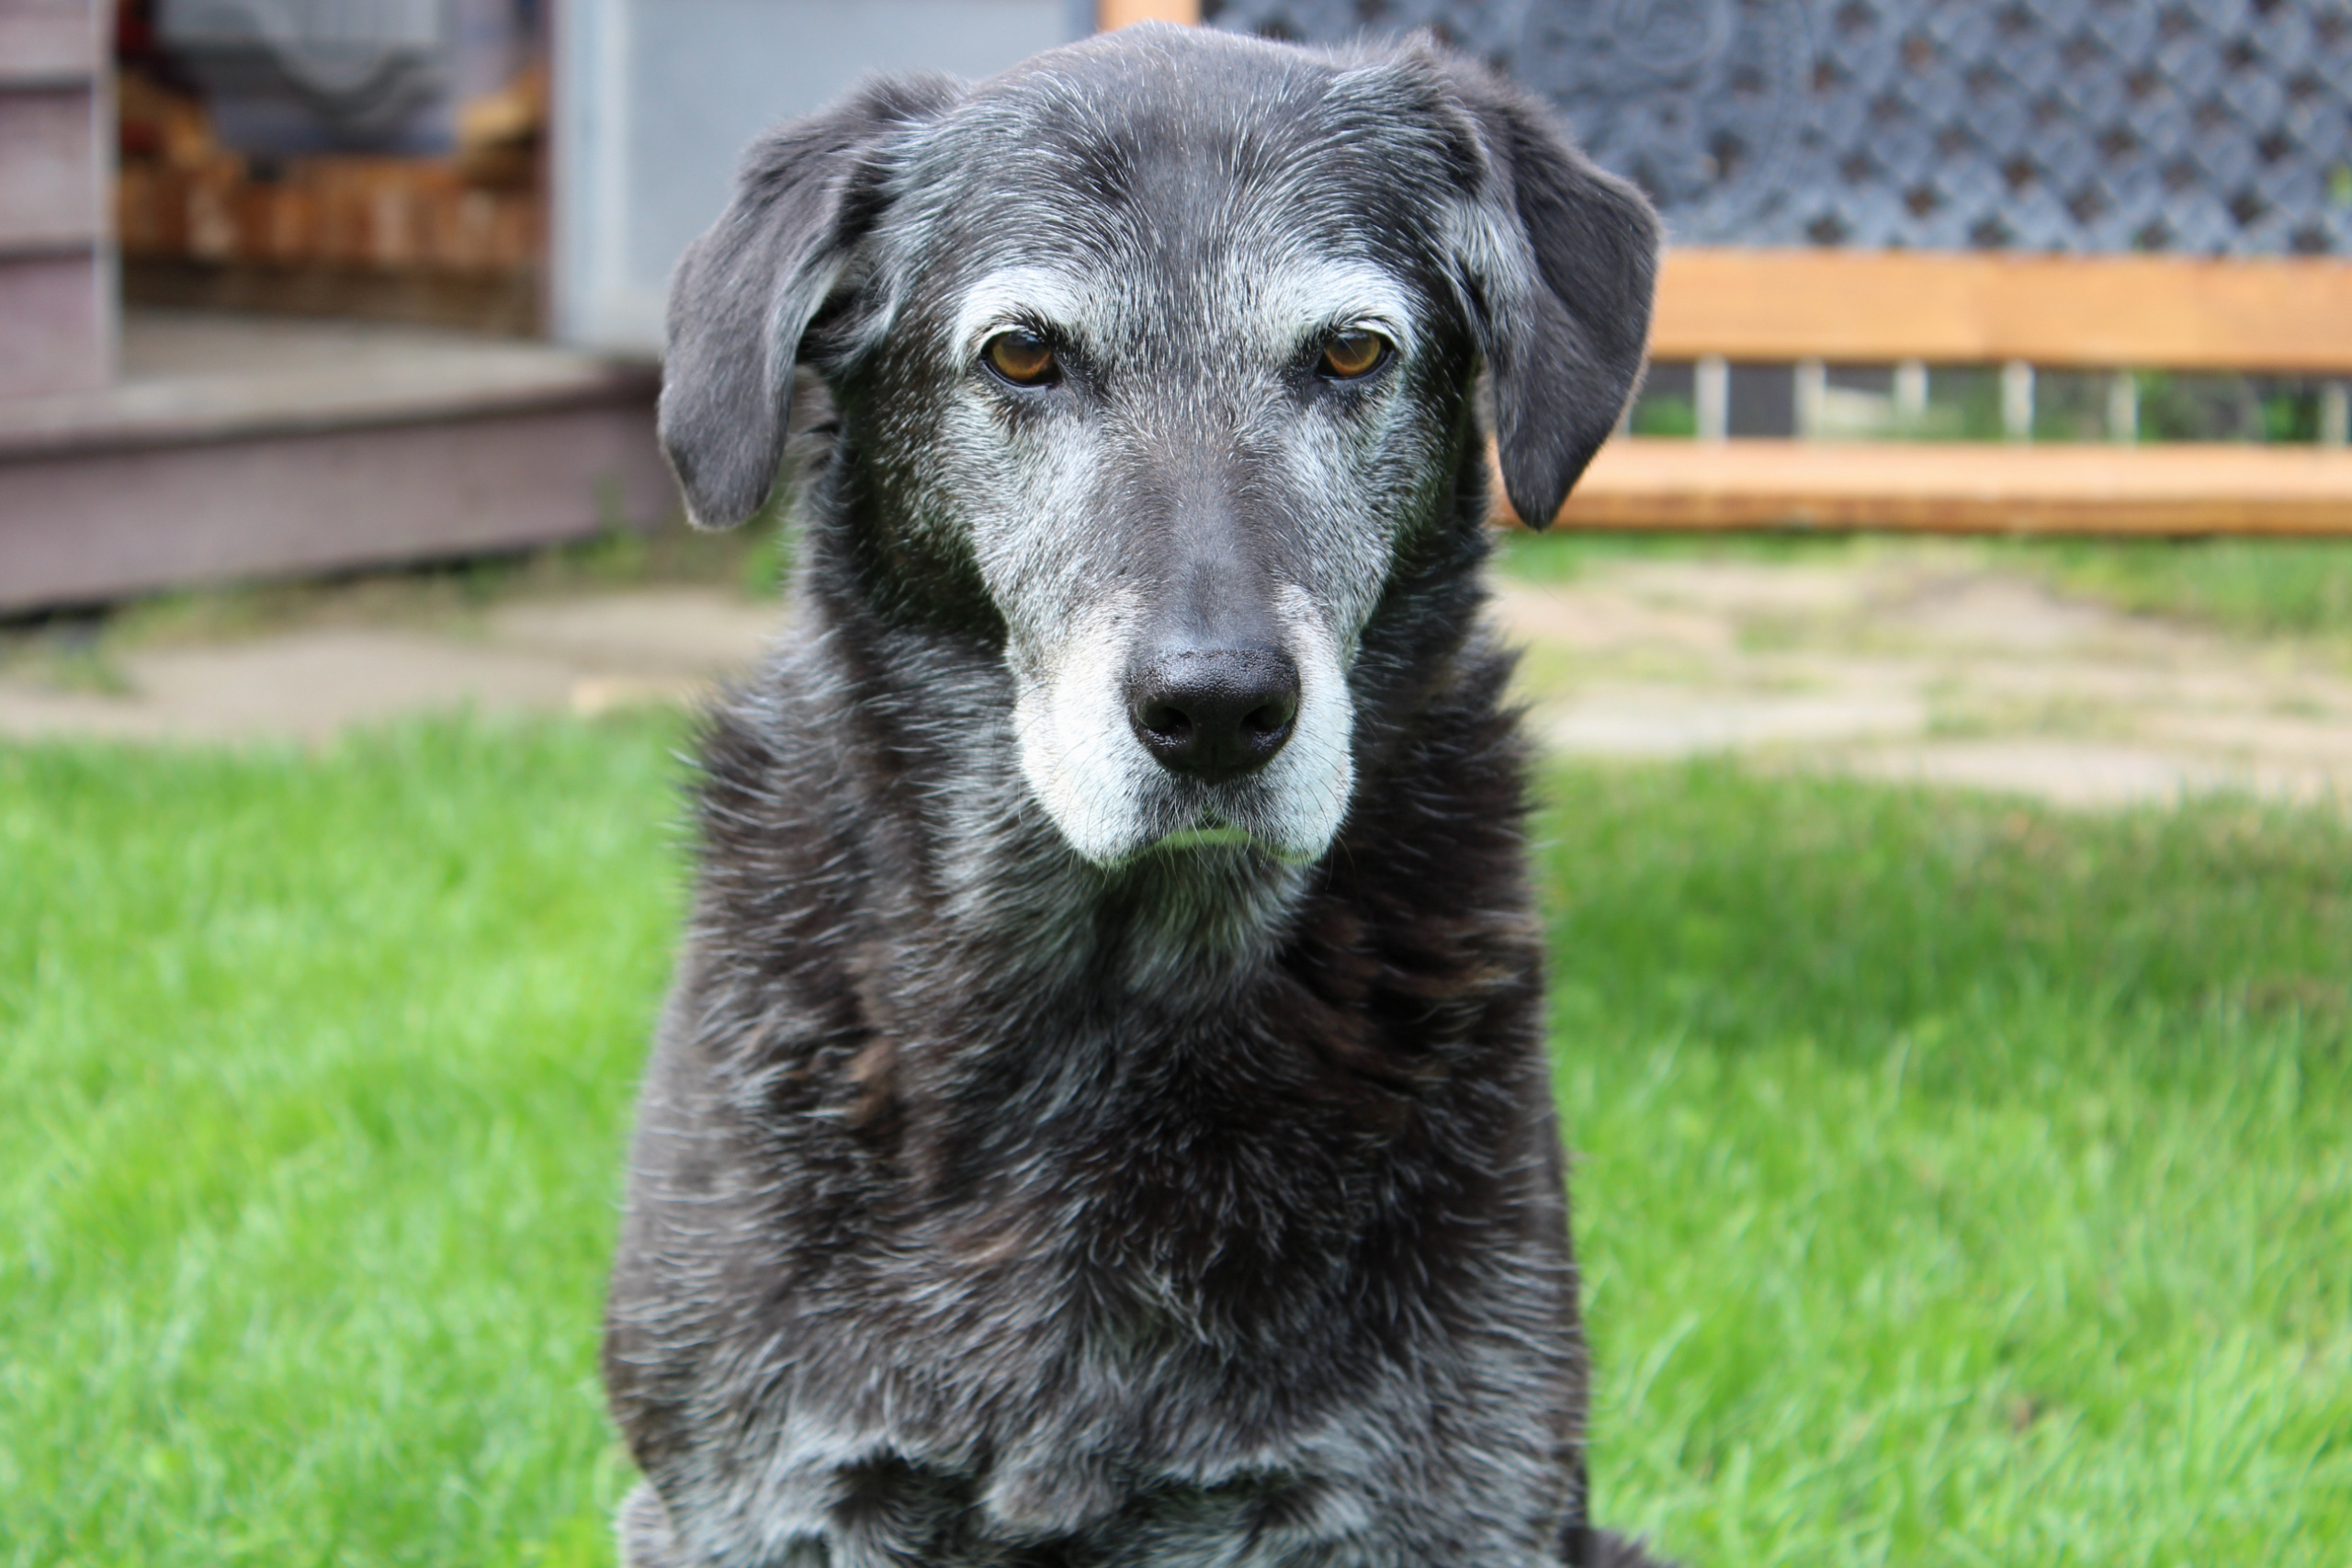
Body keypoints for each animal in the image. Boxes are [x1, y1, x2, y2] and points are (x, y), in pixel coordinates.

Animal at [606, 24, 1674, 1568]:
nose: (1216, 709)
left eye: (1351, 349)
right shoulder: (757, 1493)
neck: (1102, 1006)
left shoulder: (1446, 1495)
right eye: (1024, 353)